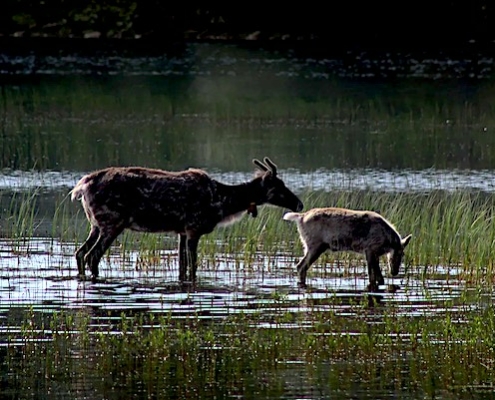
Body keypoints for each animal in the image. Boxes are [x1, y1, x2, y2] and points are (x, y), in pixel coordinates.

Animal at [70, 157, 302, 282]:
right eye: (279, 186)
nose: (299, 204)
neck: (221, 204)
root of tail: (81, 187)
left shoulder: (181, 231)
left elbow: (182, 266)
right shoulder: (193, 229)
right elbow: (193, 265)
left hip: (95, 225)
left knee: (80, 253)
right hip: (112, 223)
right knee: (92, 256)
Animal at [282, 206, 414, 290]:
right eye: (400, 254)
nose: (394, 272)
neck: (388, 241)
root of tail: (300, 217)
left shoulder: (372, 253)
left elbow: (377, 277)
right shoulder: (370, 250)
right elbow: (374, 277)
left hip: (313, 246)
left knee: (300, 266)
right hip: (315, 246)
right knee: (301, 266)